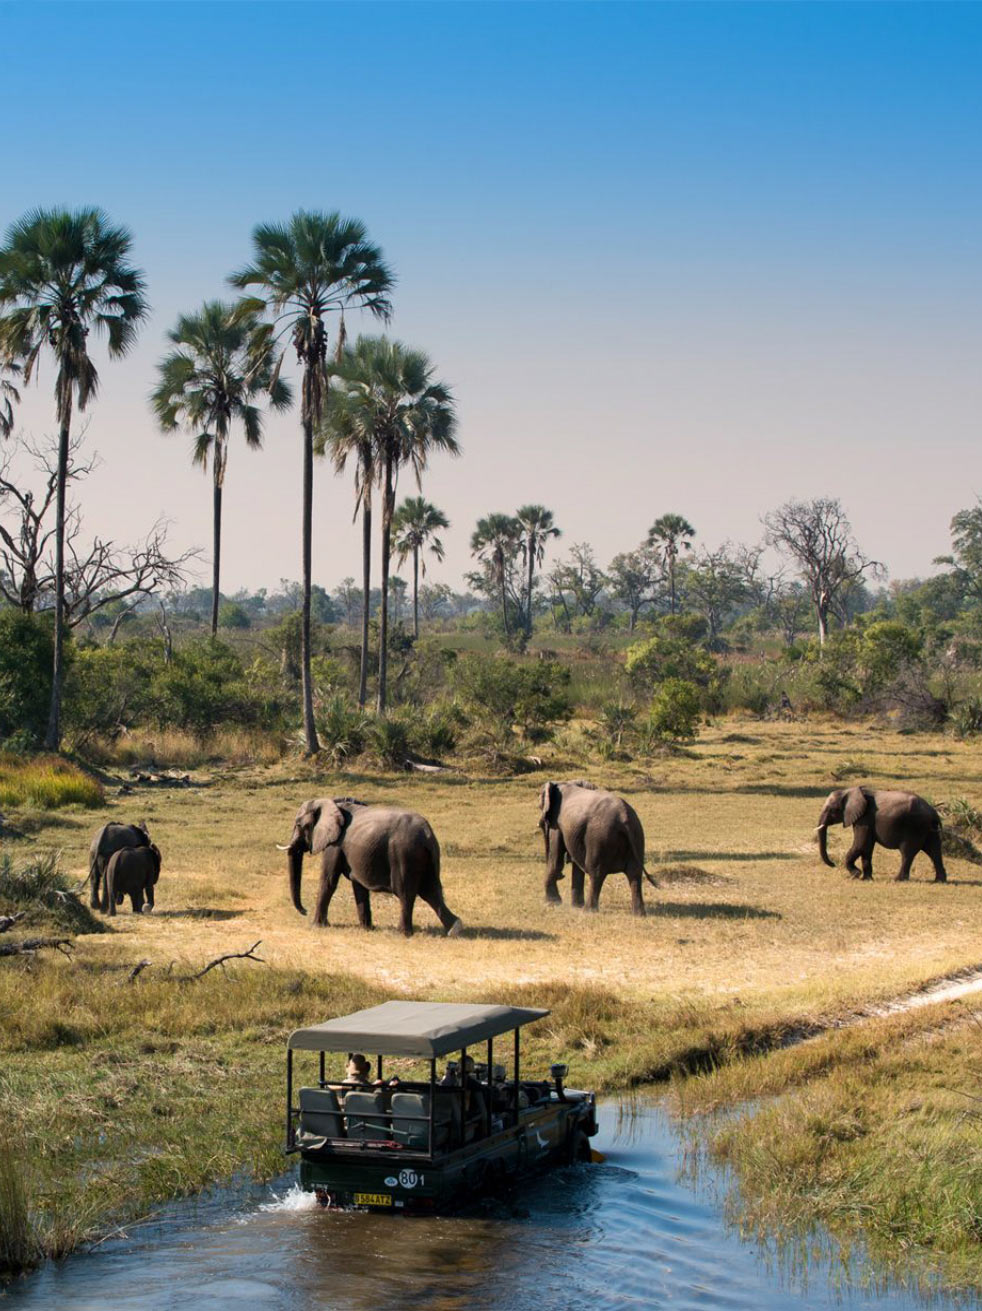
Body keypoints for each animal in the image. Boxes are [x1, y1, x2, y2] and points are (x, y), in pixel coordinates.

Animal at [278, 797, 463, 938]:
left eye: (298, 825)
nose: (305, 911)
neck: (332, 802)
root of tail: (427, 834)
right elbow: (358, 886)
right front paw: (366, 929)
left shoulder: (335, 844)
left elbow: (328, 881)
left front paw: (316, 926)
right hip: (429, 857)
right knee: (431, 892)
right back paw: (455, 930)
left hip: (404, 854)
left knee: (406, 893)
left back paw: (401, 934)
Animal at [538, 780, 656, 915]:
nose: (561, 876)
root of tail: (624, 817)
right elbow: (576, 865)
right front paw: (574, 906)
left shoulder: (557, 825)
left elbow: (556, 859)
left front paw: (552, 903)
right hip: (637, 836)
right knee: (634, 873)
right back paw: (639, 914)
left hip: (600, 838)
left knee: (596, 872)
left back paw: (587, 911)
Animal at [816, 786, 947, 882]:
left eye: (831, 810)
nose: (833, 864)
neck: (849, 791)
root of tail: (933, 813)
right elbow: (867, 847)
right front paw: (866, 879)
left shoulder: (864, 819)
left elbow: (860, 844)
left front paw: (856, 874)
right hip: (929, 829)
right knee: (934, 851)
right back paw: (939, 881)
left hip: (914, 827)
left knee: (907, 853)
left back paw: (897, 879)